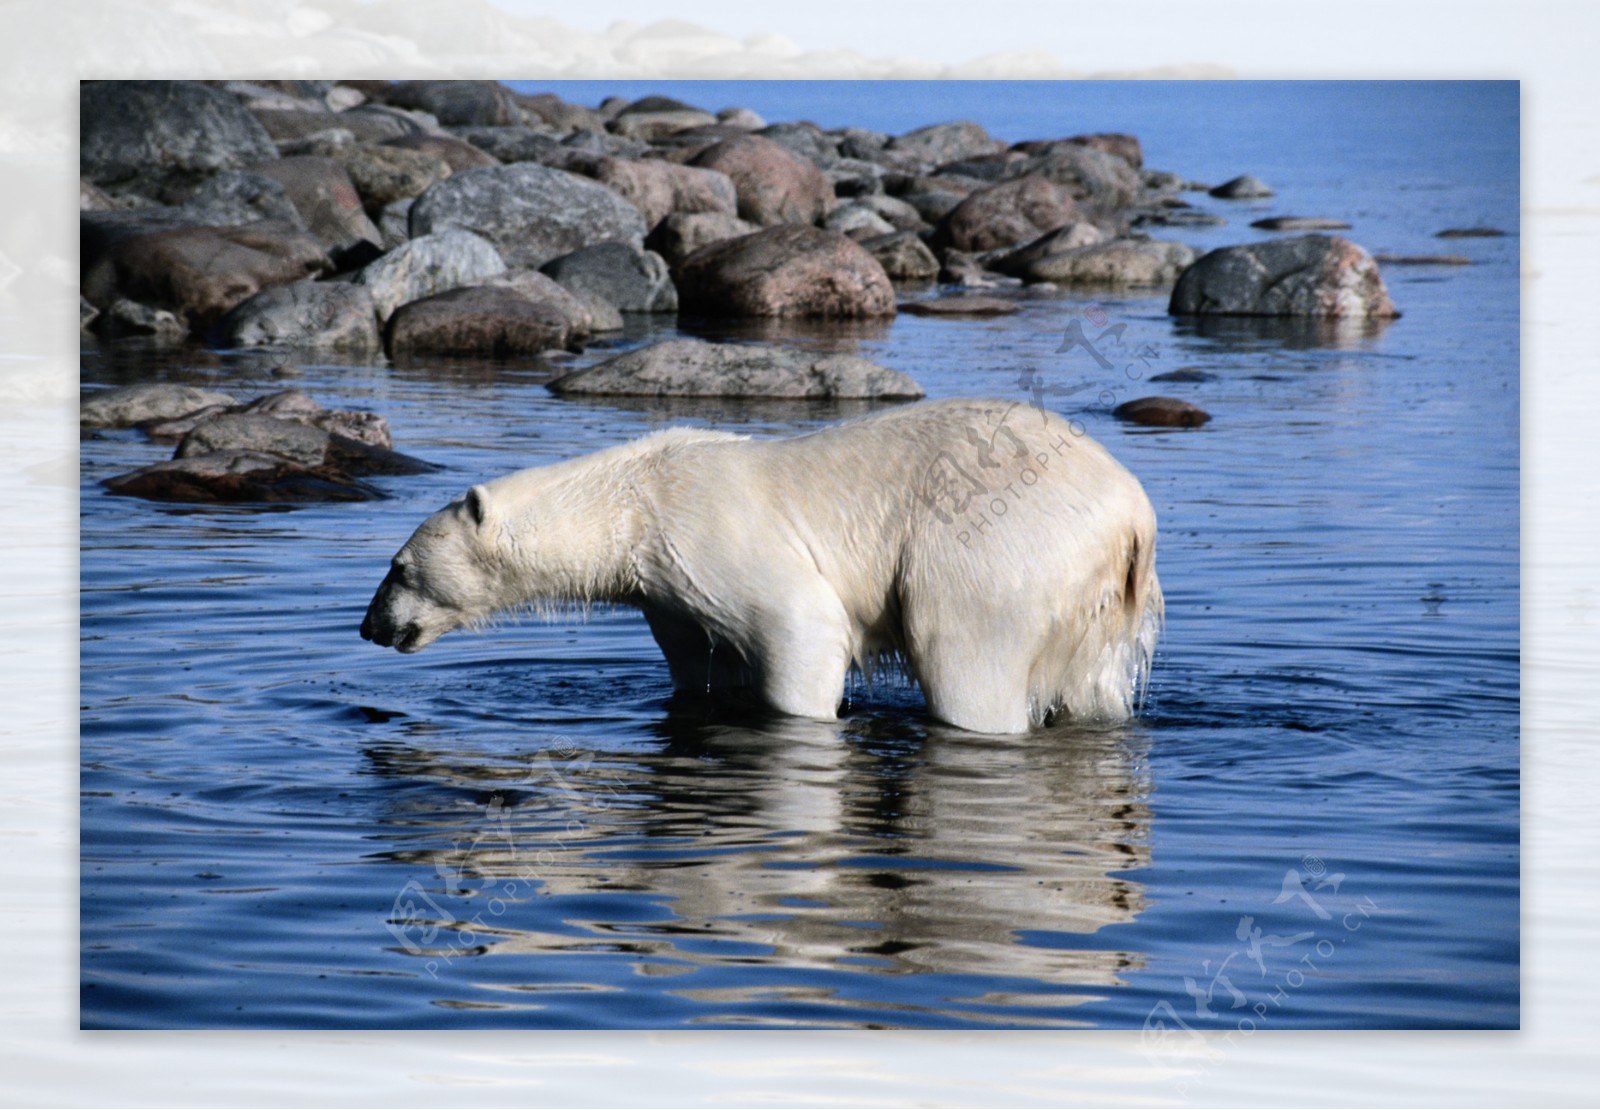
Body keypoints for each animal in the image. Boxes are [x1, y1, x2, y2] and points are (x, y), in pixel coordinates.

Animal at [363, 401, 1164, 738]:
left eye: (398, 568)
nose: (369, 627)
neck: (631, 503)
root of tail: (1132, 513)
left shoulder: (707, 530)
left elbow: (802, 627)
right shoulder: (670, 594)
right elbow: (705, 666)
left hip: (995, 548)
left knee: (966, 655)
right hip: (1096, 599)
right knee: (1093, 686)